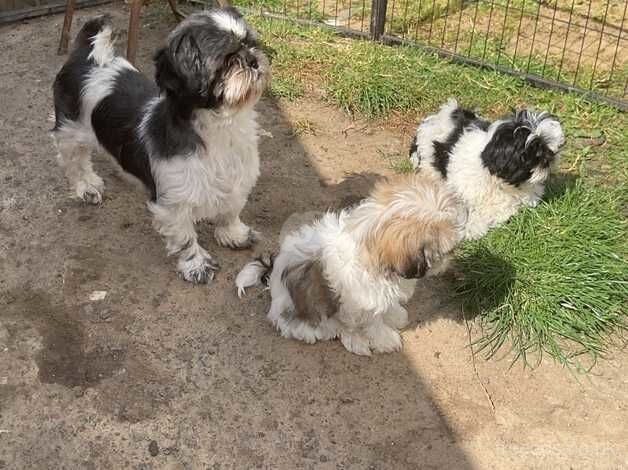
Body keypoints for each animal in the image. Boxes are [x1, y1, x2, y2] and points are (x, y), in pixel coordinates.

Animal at [51, 9, 270, 282]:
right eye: (227, 59)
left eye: (251, 44)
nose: (252, 60)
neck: (223, 129)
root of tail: (83, 55)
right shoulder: (173, 203)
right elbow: (185, 238)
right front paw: (196, 265)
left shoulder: (239, 179)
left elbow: (230, 211)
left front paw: (234, 234)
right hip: (70, 131)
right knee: (74, 162)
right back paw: (86, 187)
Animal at [236, 174, 466, 354]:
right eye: (442, 251)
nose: (449, 259)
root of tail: (272, 276)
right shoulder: (361, 303)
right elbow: (372, 323)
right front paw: (385, 339)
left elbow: (387, 306)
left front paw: (394, 314)